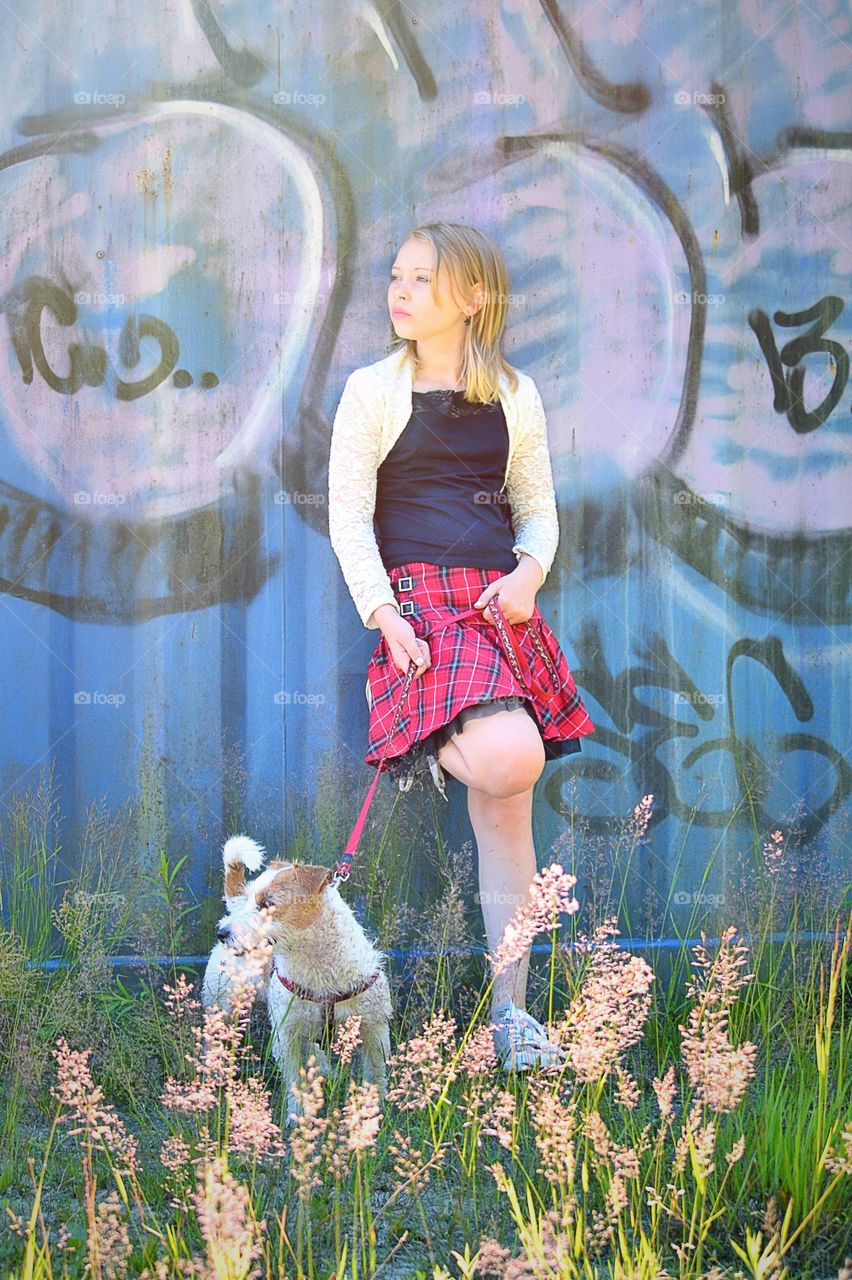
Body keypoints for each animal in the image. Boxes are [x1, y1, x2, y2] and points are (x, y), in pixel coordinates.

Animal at [202, 829, 391, 1121]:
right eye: (252, 899)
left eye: (267, 903)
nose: (222, 932)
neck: (321, 971)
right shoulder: (286, 1034)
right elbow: (293, 1078)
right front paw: (297, 1115)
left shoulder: (375, 1028)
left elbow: (376, 1073)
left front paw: (375, 1108)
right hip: (222, 1007)